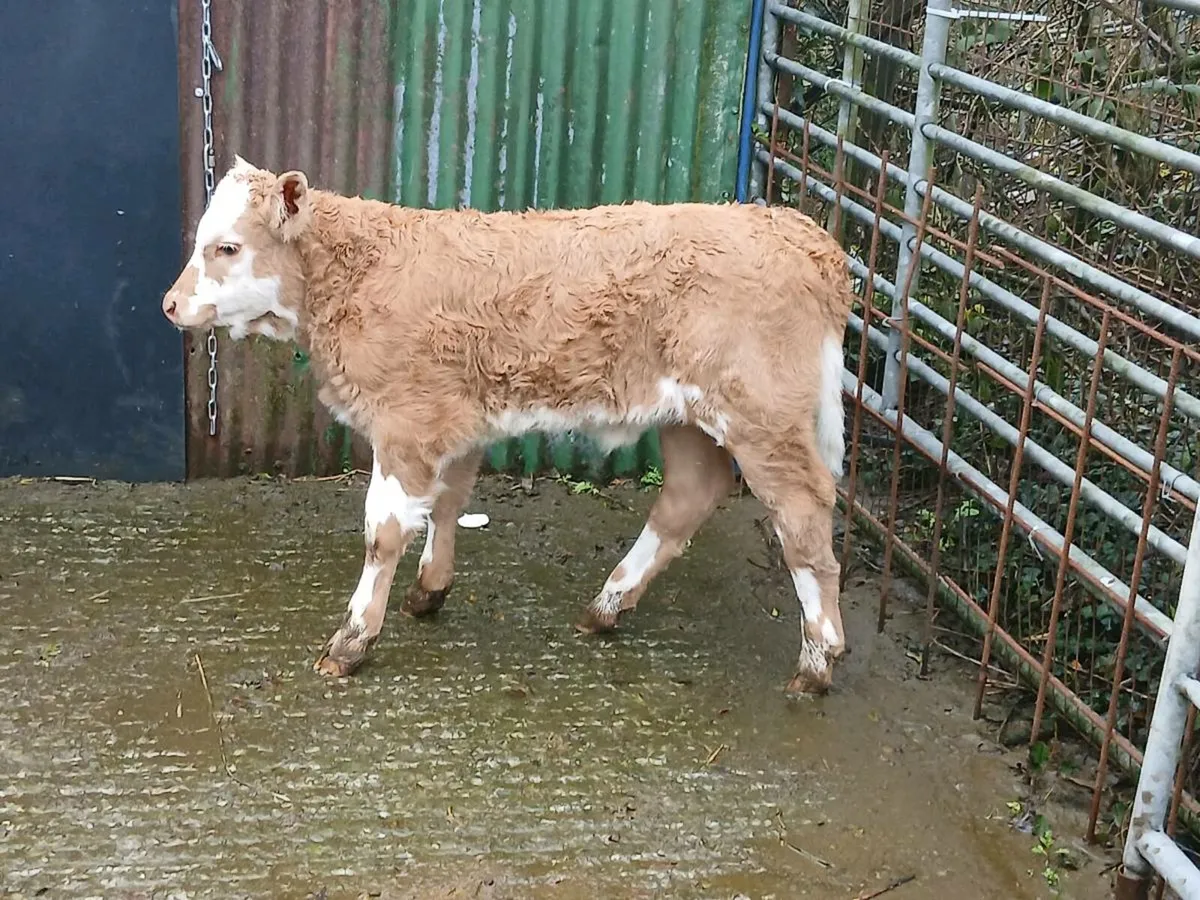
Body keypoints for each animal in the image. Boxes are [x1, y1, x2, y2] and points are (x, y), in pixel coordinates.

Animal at [161, 157, 855, 696]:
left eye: (227, 247)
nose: (169, 304)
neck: (359, 275)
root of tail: (796, 231)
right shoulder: (454, 421)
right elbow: (446, 505)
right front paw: (429, 592)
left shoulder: (406, 425)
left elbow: (383, 534)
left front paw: (353, 639)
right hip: (689, 417)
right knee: (690, 495)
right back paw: (607, 607)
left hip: (762, 417)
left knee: (803, 512)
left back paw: (818, 659)